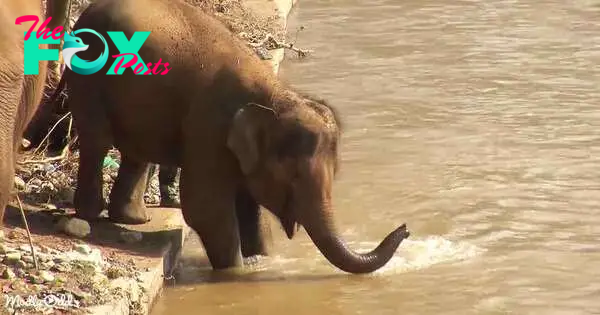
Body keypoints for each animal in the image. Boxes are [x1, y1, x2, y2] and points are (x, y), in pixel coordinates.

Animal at [56, 0, 410, 274]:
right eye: (293, 177)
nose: (405, 228)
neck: (273, 94)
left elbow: (249, 203)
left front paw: (261, 259)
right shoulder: (208, 127)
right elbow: (205, 206)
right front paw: (237, 272)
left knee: (135, 151)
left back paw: (134, 220)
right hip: (89, 79)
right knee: (97, 140)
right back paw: (91, 214)